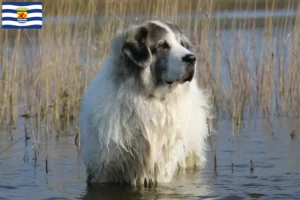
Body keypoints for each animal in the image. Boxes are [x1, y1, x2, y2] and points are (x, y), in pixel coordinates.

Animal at [79, 19, 211, 186]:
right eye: (163, 45)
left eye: (182, 43)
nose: (192, 58)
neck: (149, 97)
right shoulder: (103, 170)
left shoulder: (160, 168)